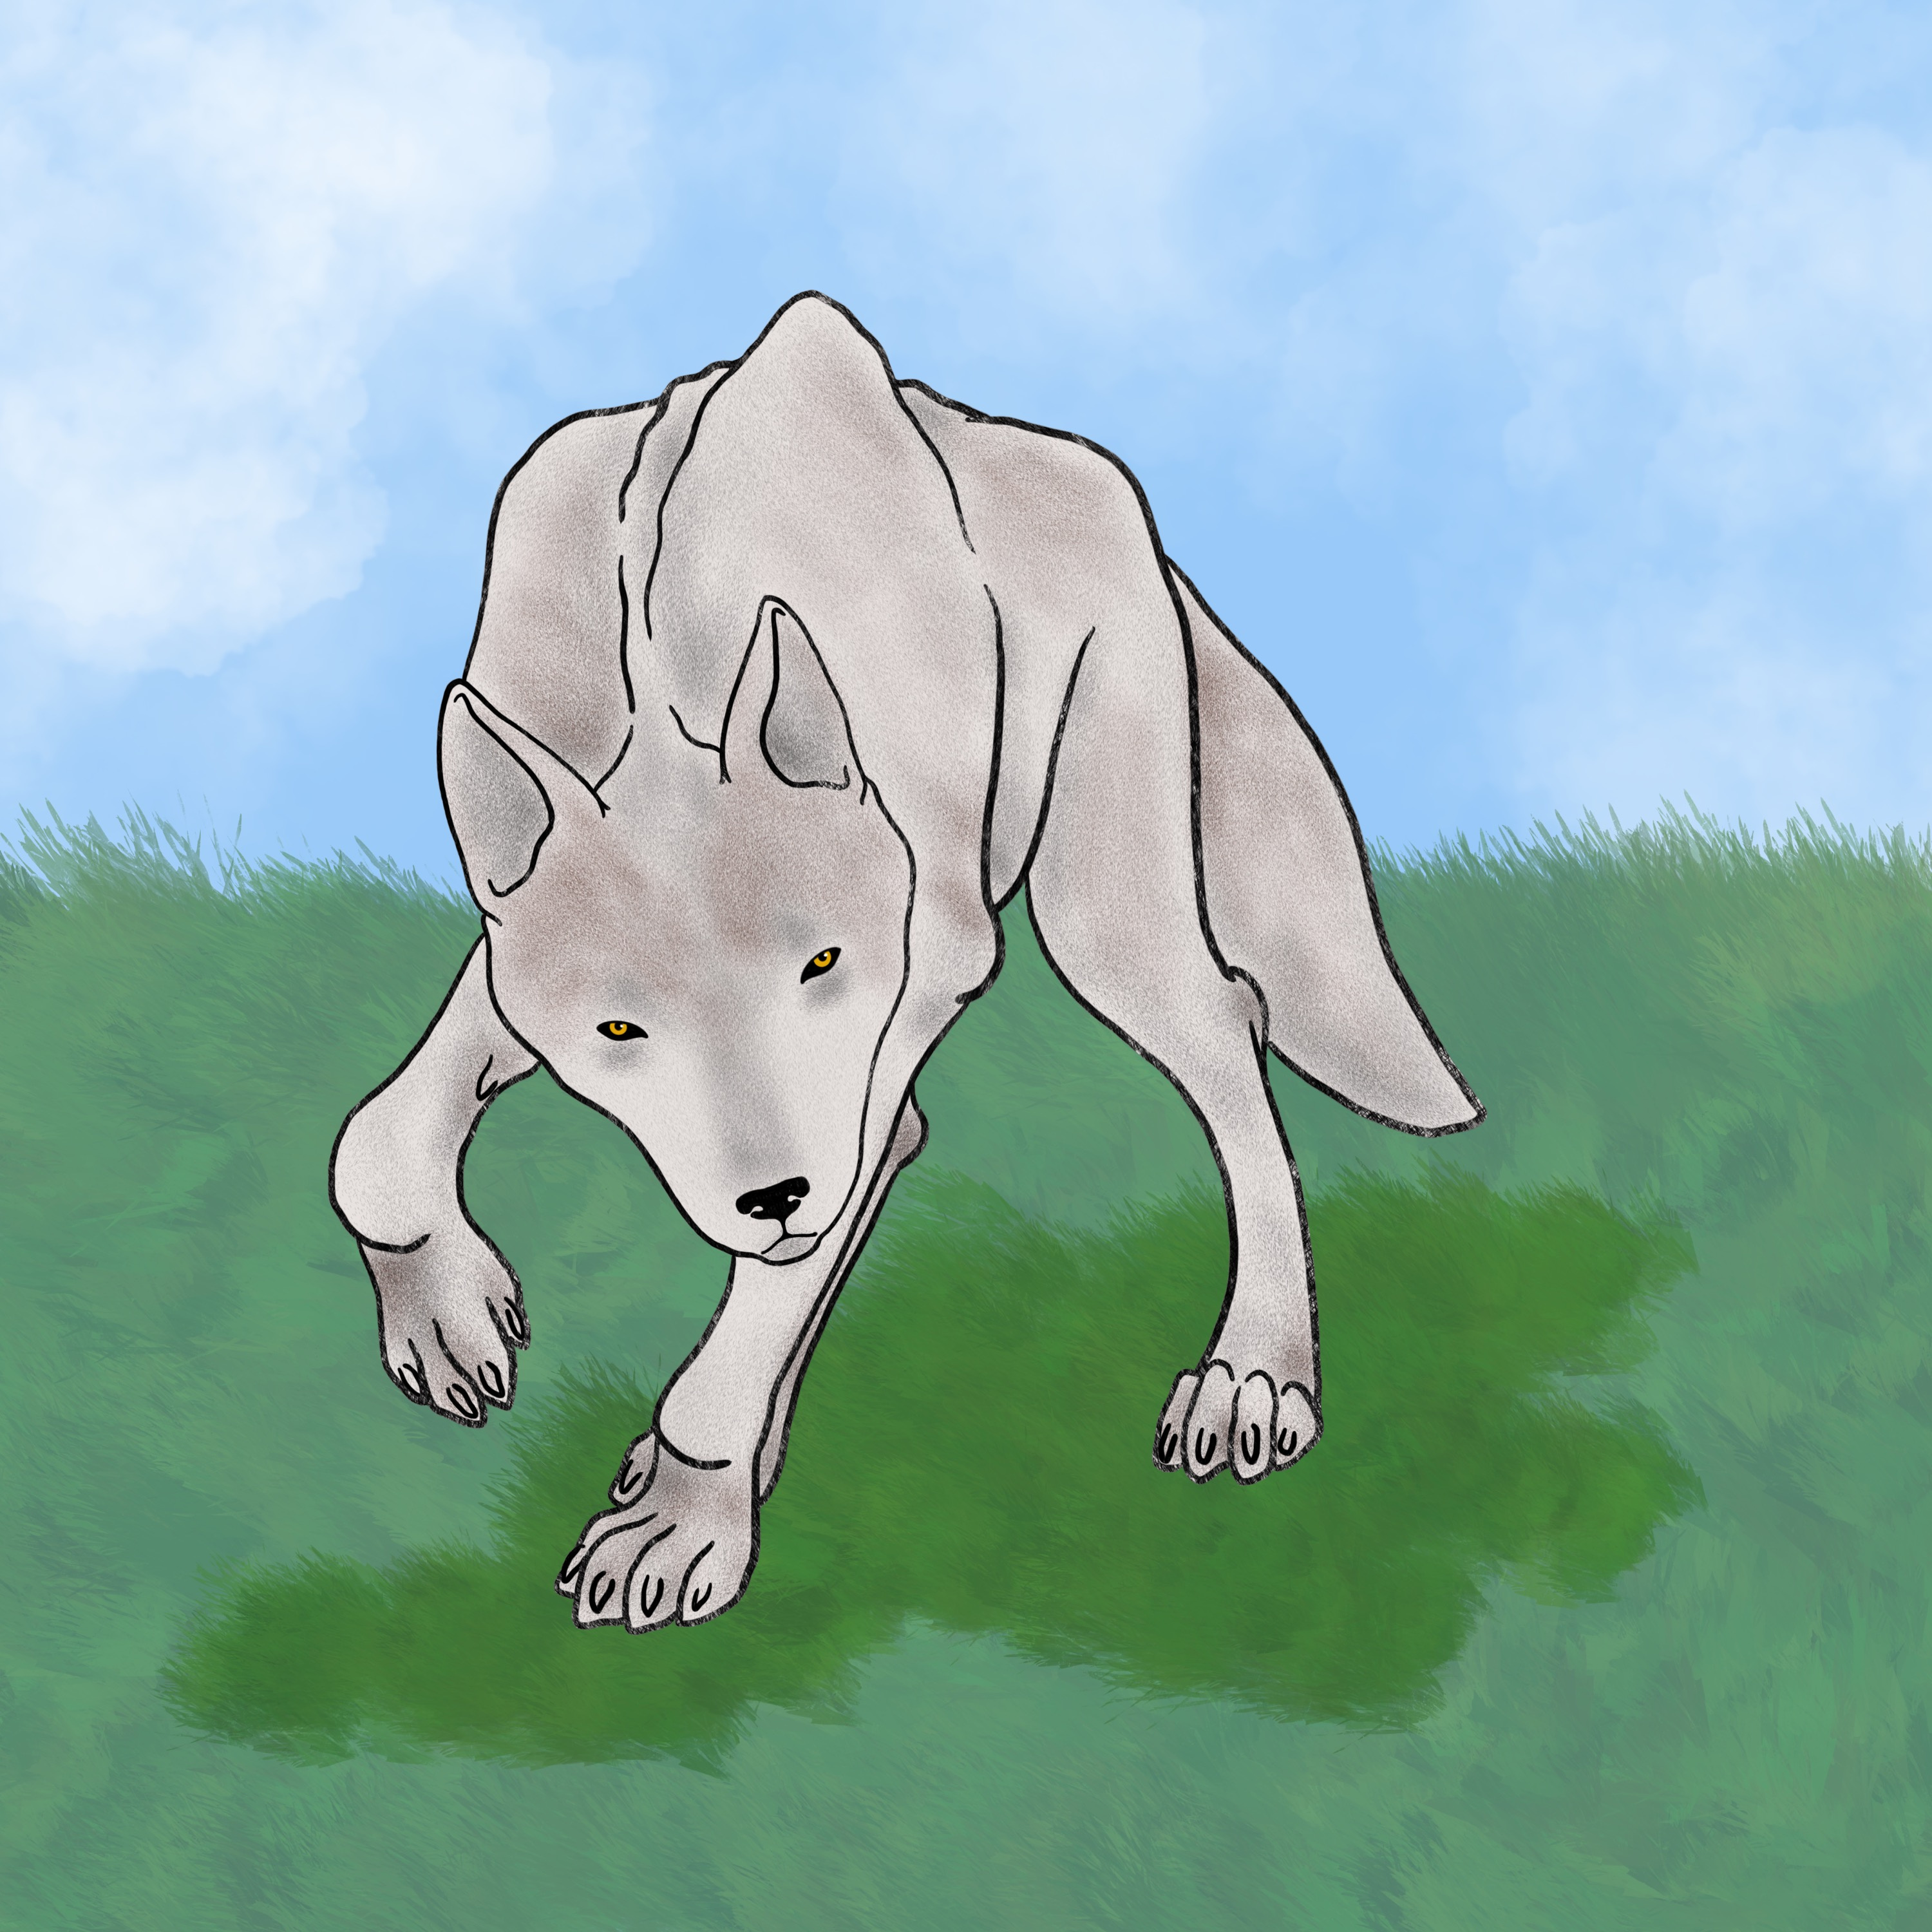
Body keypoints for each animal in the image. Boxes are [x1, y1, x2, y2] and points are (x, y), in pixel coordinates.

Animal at [328, 292, 1483, 1632]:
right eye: (620, 1033)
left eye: (822, 960)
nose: (771, 1197)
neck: (658, 665)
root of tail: (995, 432)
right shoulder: (518, 954)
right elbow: (376, 1139)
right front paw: (450, 1317)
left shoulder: (915, 979)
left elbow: (769, 1292)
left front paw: (687, 1514)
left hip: (1106, 918)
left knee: (1226, 1045)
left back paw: (1255, 1375)